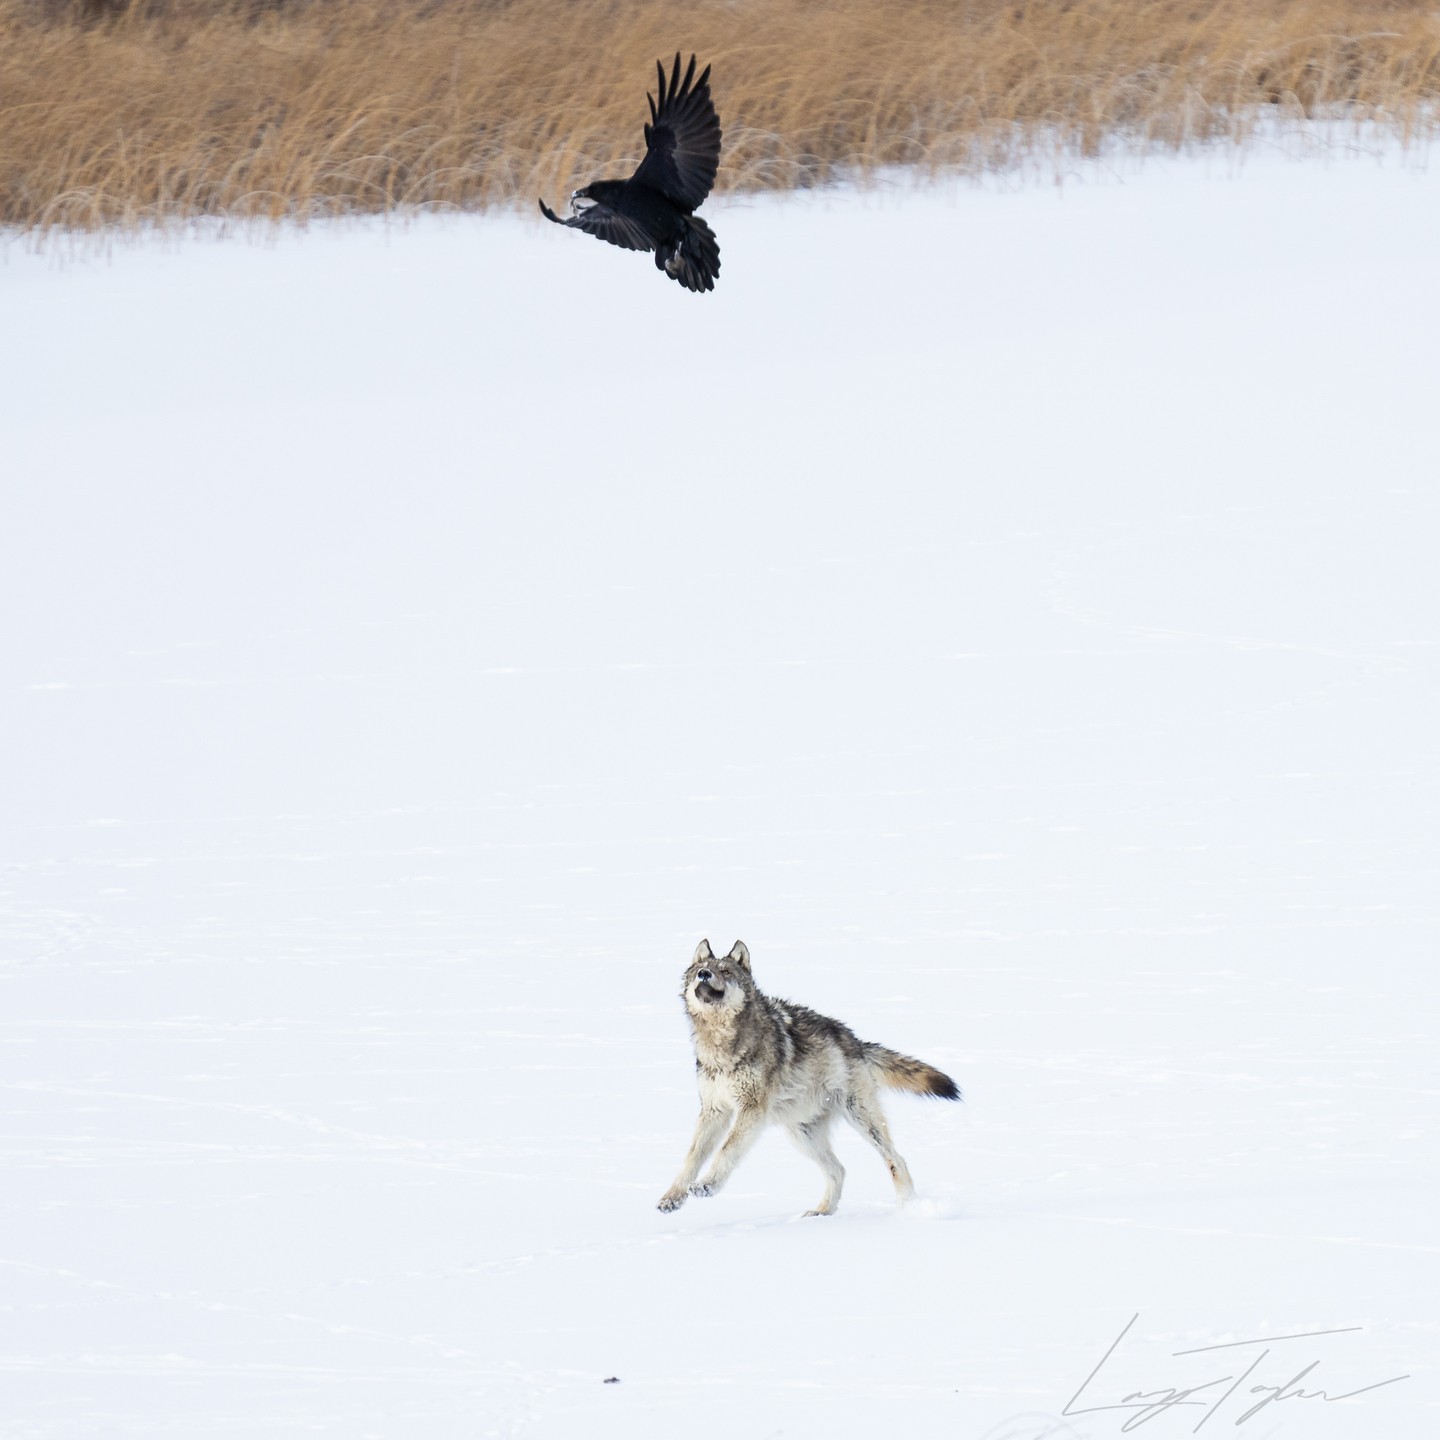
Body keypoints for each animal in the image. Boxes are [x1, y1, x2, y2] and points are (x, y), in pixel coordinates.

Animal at [659, 944, 961, 1215]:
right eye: (700, 969)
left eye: (725, 971)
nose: (704, 975)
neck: (720, 1045)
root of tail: (856, 1042)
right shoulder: (714, 1111)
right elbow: (690, 1159)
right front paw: (672, 1198)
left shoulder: (751, 1109)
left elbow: (726, 1150)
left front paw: (707, 1185)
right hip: (801, 1133)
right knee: (839, 1170)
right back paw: (822, 1212)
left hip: (860, 1117)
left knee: (895, 1159)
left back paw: (910, 1206)